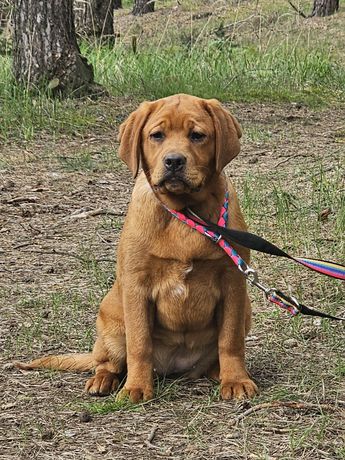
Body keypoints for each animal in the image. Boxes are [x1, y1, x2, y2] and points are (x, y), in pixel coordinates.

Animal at [16, 94, 258, 402]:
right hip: (111, 319)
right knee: (107, 361)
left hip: (245, 309)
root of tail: (174, 367)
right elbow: (140, 344)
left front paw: (236, 379)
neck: (184, 212)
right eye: (157, 135)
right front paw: (136, 388)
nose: (174, 161)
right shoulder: (137, 286)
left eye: (197, 135)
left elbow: (230, 340)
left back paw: (217, 371)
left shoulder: (233, 283)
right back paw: (104, 380)